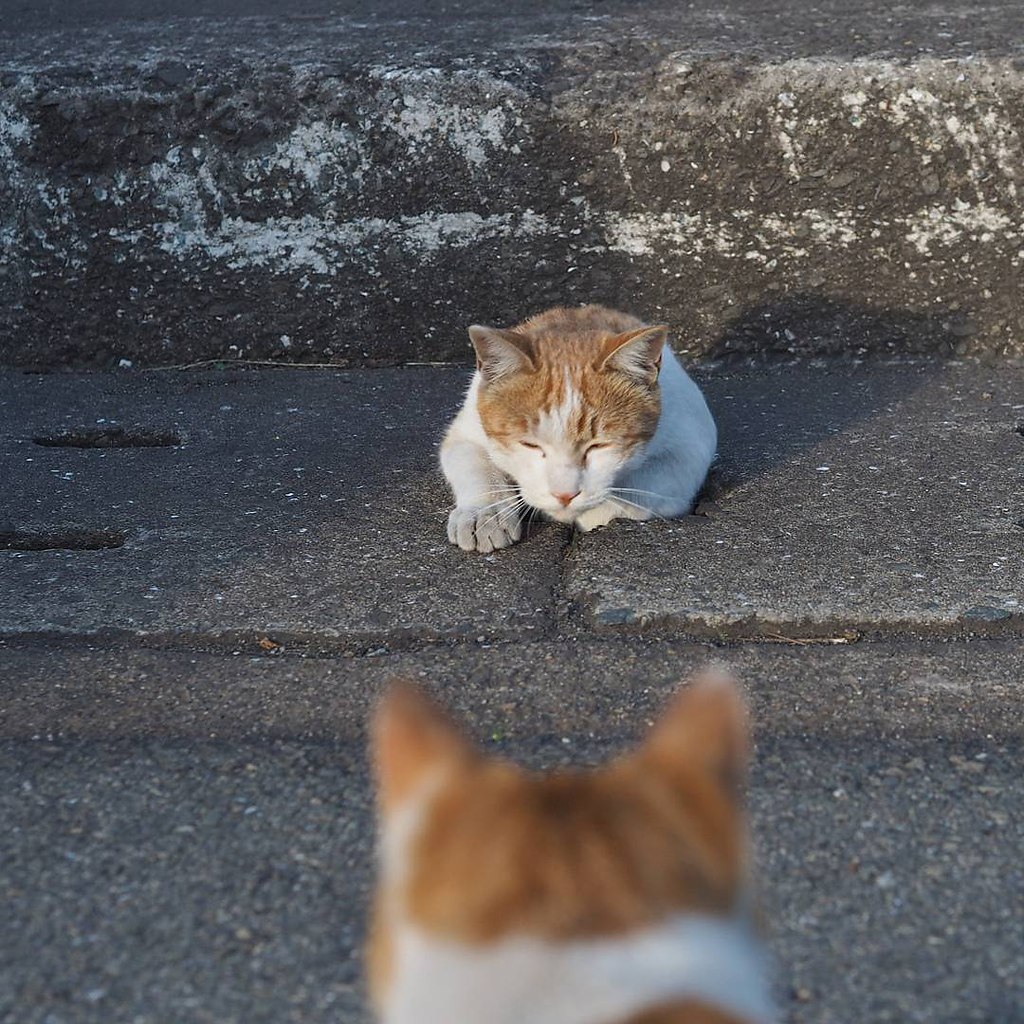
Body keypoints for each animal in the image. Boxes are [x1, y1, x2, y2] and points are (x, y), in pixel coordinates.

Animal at [442, 303, 720, 552]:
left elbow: (641, 490)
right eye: (529, 444)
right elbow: (476, 466)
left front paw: (593, 510)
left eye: (599, 446)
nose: (564, 495)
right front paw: (485, 514)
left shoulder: (690, 447)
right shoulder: (465, 433)